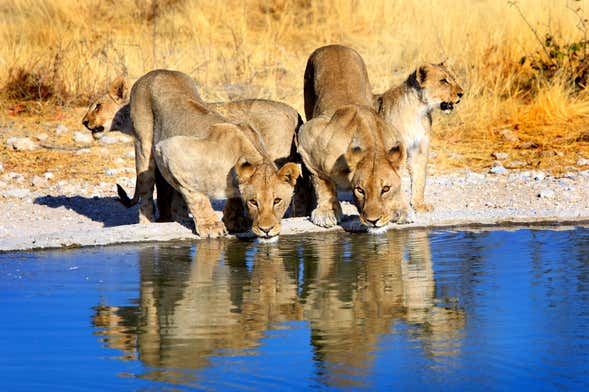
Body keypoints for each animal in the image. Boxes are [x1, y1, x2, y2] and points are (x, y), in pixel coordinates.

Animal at [123, 69, 298, 239]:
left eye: (277, 201)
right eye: (253, 202)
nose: (266, 229)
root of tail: (154, 72)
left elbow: (233, 197)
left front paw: (234, 220)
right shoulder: (171, 150)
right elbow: (197, 196)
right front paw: (211, 226)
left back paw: (182, 218)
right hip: (143, 143)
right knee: (146, 190)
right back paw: (147, 223)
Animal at [300, 44, 406, 233]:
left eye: (385, 189)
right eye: (360, 190)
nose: (373, 220)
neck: (371, 147)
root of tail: (333, 45)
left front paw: (398, 208)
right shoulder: (307, 138)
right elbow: (322, 181)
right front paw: (326, 212)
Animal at [374, 63, 462, 213]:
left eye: (454, 78)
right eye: (443, 81)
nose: (462, 93)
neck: (418, 110)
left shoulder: (418, 149)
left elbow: (419, 177)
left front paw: (419, 204)